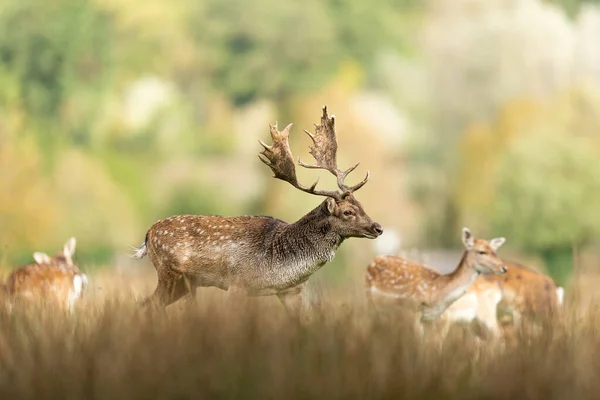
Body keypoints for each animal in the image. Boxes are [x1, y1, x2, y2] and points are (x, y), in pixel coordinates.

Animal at [134, 105, 382, 316]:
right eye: (348, 212)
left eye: (362, 206)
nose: (377, 227)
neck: (279, 265)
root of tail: (148, 235)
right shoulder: (237, 283)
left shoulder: (292, 292)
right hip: (170, 274)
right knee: (149, 305)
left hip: (185, 283)